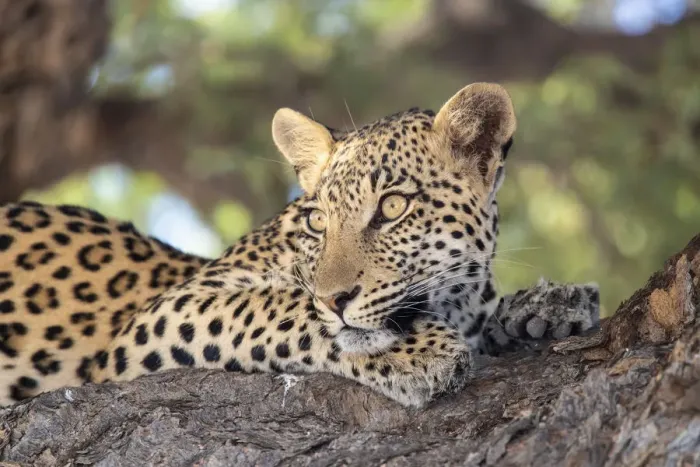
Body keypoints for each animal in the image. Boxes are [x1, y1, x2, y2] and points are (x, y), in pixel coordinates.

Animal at [0, 83, 600, 408]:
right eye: (317, 220)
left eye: (392, 208)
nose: (337, 298)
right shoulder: (164, 314)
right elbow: (277, 306)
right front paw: (419, 352)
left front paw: (549, 304)